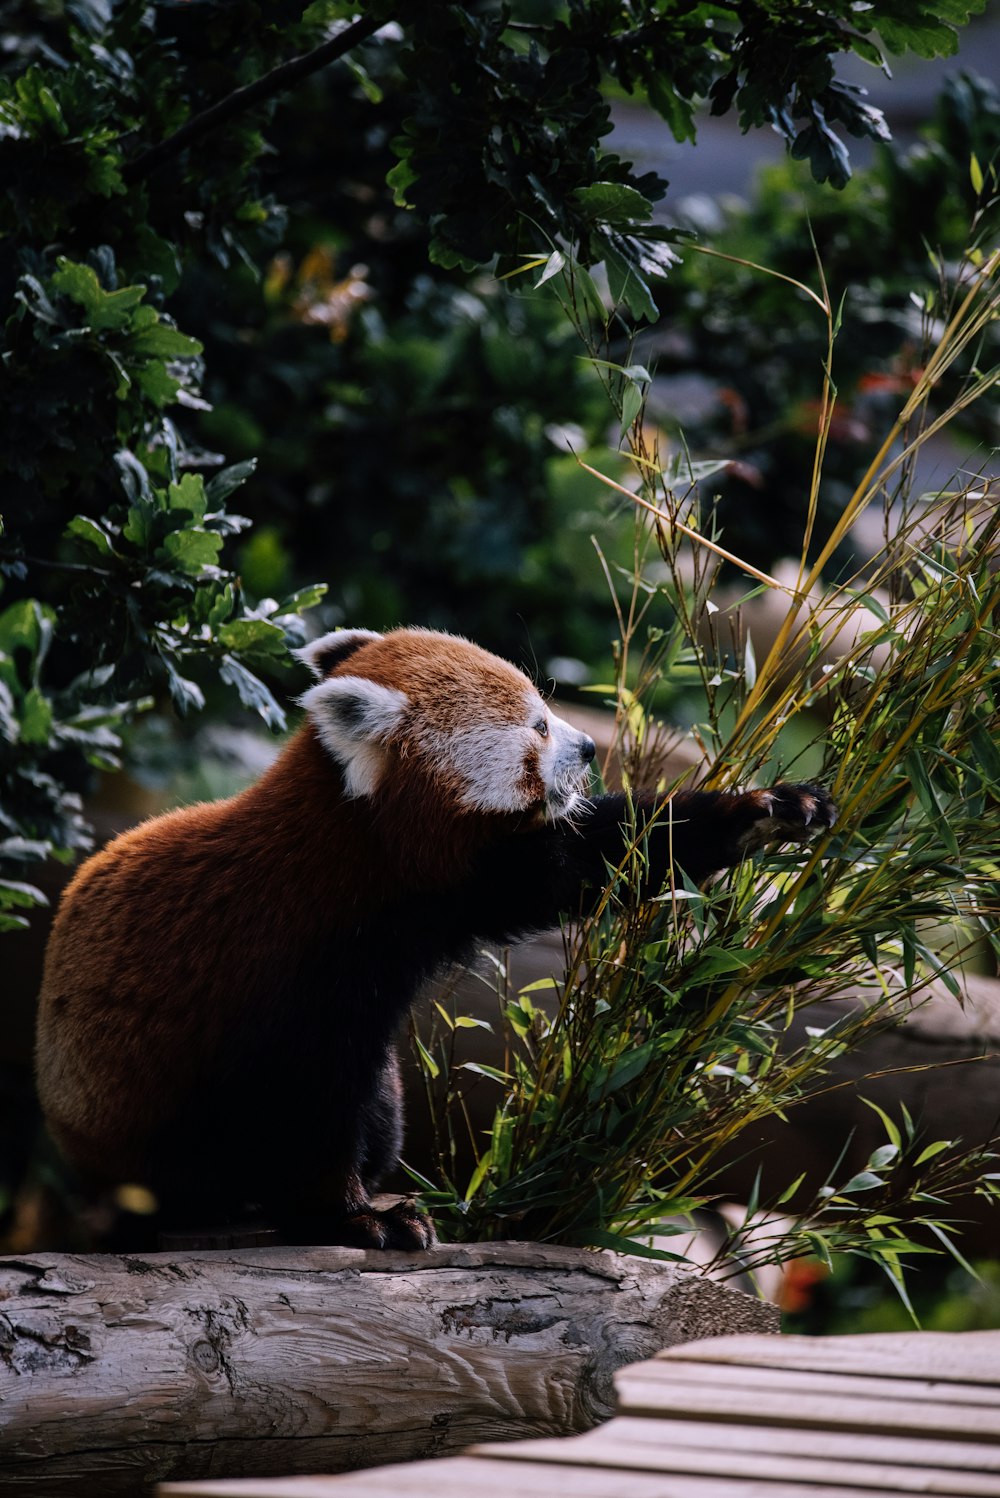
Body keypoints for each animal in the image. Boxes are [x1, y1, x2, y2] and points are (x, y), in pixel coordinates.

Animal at [37, 626, 838, 1246]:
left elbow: (601, 856)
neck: (364, 863)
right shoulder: (291, 970)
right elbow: (302, 1104)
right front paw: (349, 1217)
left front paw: (769, 809)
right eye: (538, 725)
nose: (587, 748)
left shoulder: (464, 890)